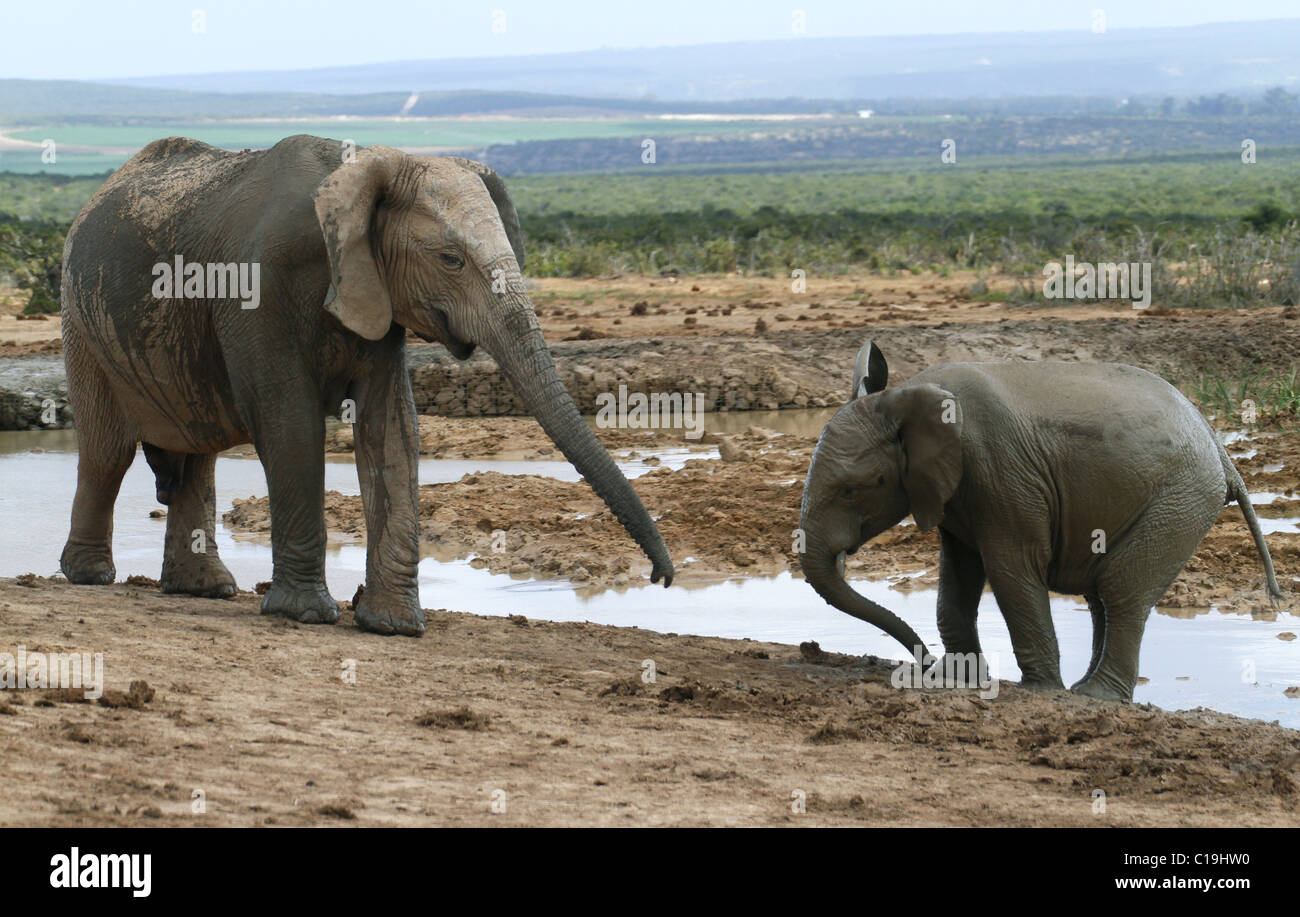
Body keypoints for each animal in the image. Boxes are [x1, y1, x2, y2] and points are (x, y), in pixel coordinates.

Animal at [58, 135, 670, 637]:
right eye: (450, 259)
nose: (661, 578)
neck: (367, 166)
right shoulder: (255, 290)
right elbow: (291, 422)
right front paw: (305, 615)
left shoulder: (377, 294)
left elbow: (391, 427)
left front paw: (393, 626)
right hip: (81, 321)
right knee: (108, 452)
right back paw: (91, 576)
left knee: (197, 454)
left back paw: (206, 589)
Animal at [795, 340, 1284, 697]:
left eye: (856, 487)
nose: (925, 664)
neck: (908, 395)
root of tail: (1216, 444)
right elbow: (958, 575)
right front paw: (962, 679)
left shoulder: (1000, 469)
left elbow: (1012, 568)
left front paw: (1038, 691)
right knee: (1102, 595)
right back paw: (1086, 688)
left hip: (1182, 497)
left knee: (1121, 589)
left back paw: (1094, 697)